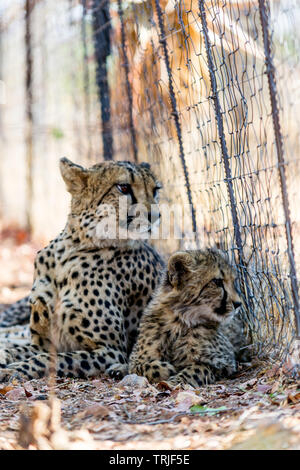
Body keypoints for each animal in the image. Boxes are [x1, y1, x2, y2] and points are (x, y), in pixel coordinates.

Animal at [0, 158, 164, 382]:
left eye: (155, 190)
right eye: (123, 187)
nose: (155, 216)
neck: (70, 251)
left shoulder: (111, 350)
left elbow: (52, 359)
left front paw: (13, 370)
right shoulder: (42, 342)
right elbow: (20, 350)